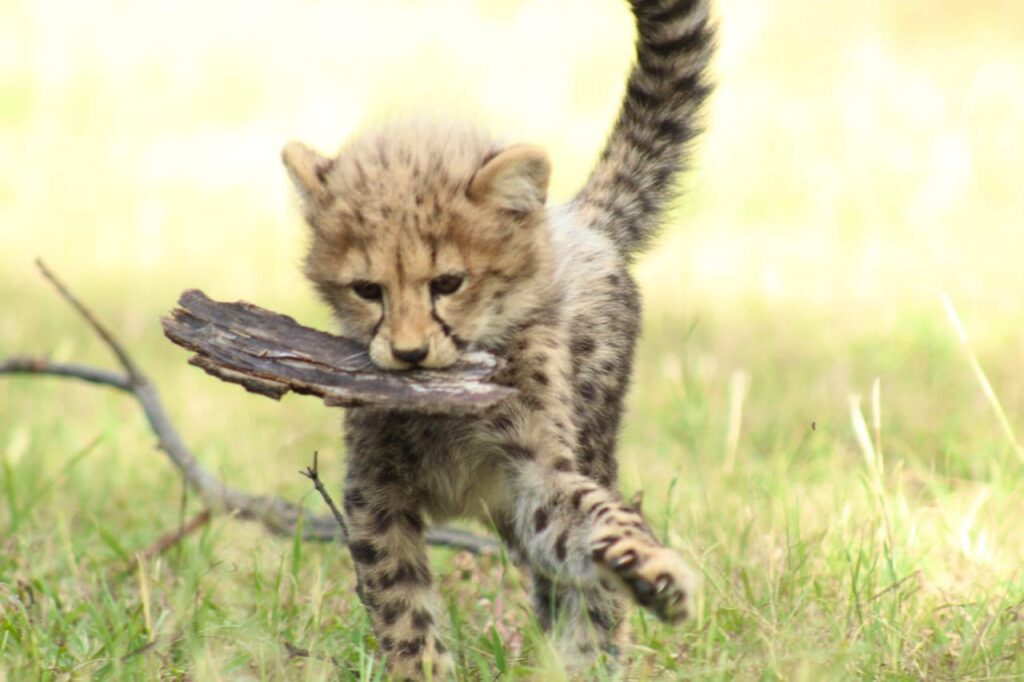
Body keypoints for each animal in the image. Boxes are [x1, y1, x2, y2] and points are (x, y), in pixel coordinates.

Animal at [280, 0, 714, 677]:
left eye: (448, 283)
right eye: (367, 290)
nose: (408, 354)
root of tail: (576, 220)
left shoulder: (535, 477)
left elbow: (591, 519)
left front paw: (649, 570)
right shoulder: (374, 492)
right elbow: (401, 605)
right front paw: (422, 667)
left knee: (585, 595)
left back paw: (588, 657)